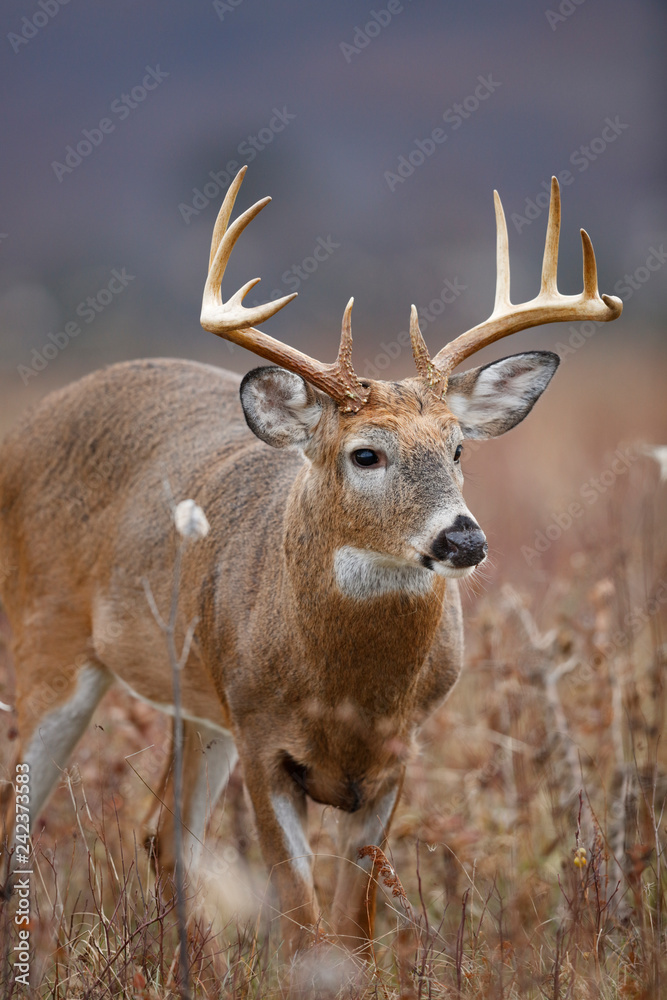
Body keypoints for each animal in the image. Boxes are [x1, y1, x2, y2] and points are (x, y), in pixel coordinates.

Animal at [0, 167, 621, 955]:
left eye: (457, 448)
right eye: (366, 454)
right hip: (46, 643)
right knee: (19, 830)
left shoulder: (396, 755)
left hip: (199, 701)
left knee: (162, 835)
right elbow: (302, 927)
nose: (463, 541)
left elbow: (353, 929)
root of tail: (22, 435)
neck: (345, 691)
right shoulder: (264, 742)